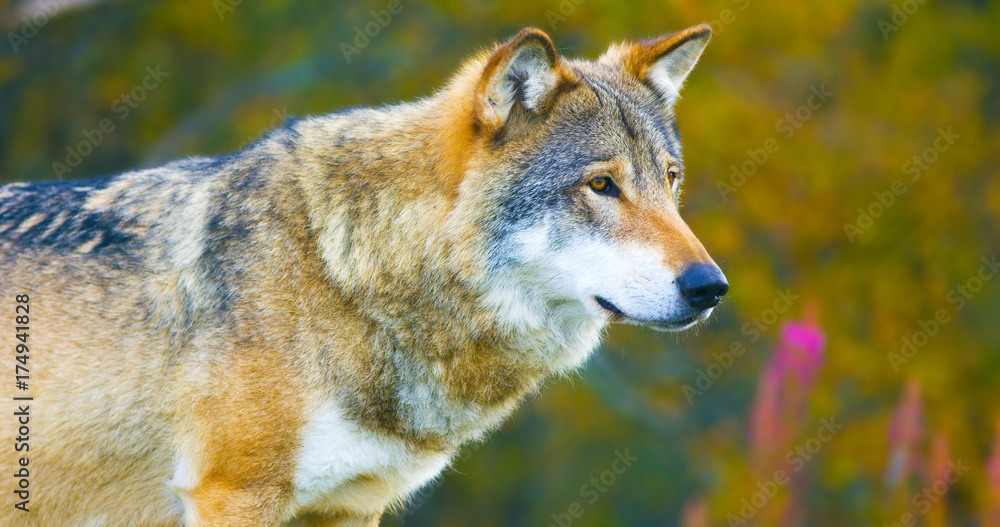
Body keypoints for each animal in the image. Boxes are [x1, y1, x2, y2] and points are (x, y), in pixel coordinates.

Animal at [0, 25, 727, 526]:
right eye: (602, 185)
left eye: (670, 180)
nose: (710, 287)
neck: (341, 272)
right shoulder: (234, 493)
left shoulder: (350, 505)